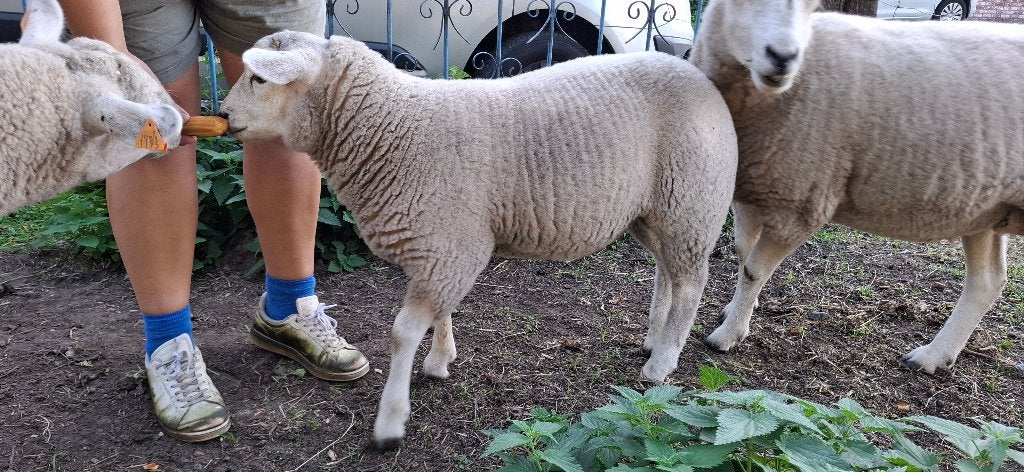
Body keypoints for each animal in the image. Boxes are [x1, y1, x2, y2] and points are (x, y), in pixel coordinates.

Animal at [219, 31, 738, 447]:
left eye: (259, 79)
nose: (222, 115)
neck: (391, 126)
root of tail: (698, 73)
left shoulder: (450, 245)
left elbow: (403, 332)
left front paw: (390, 422)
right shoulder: (442, 243)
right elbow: (441, 311)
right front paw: (440, 360)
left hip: (692, 199)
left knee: (691, 283)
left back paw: (663, 362)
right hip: (654, 211)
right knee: (668, 273)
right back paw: (654, 340)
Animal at [688, 0, 1024, 374]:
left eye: (811, 7)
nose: (783, 57)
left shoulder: (801, 201)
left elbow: (753, 270)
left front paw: (727, 335)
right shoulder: (750, 191)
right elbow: (743, 252)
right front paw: (737, 309)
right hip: (985, 210)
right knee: (987, 282)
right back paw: (933, 356)